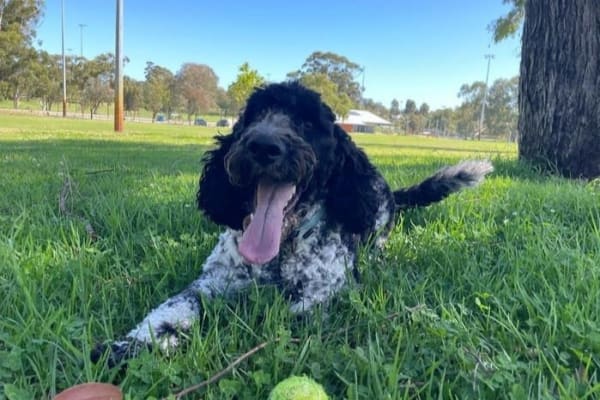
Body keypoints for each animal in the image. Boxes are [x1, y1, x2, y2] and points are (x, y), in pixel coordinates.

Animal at [94, 81, 494, 366]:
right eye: (253, 117)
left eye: (307, 123)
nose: (263, 145)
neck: (278, 253)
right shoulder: (211, 282)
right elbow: (171, 310)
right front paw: (133, 345)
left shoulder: (318, 295)